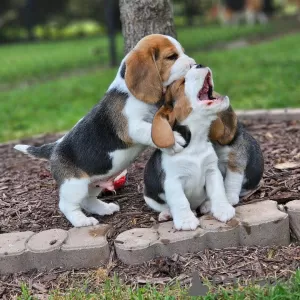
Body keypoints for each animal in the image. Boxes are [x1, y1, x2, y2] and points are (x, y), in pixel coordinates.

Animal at [15, 34, 196, 227]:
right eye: (171, 57)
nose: (194, 64)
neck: (129, 92)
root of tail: (53, 148)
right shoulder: (132, 127)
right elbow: (149, 131)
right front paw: (174, 140)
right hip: (74, 185)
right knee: (67, 205)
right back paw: (82, 221)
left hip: (93, 183)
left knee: (87, 200)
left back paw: (104, 208)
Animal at [144, 64, 236, 231]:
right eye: (182, 83)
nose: (199, 64)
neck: (195, 143)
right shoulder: (173, 180)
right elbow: (180, 201)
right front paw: (186, 220)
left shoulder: (212, 171)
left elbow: (218, 191)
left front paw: (223, 209)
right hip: (149, 196)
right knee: (165, 206)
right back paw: (168, 214)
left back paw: (207, 205)